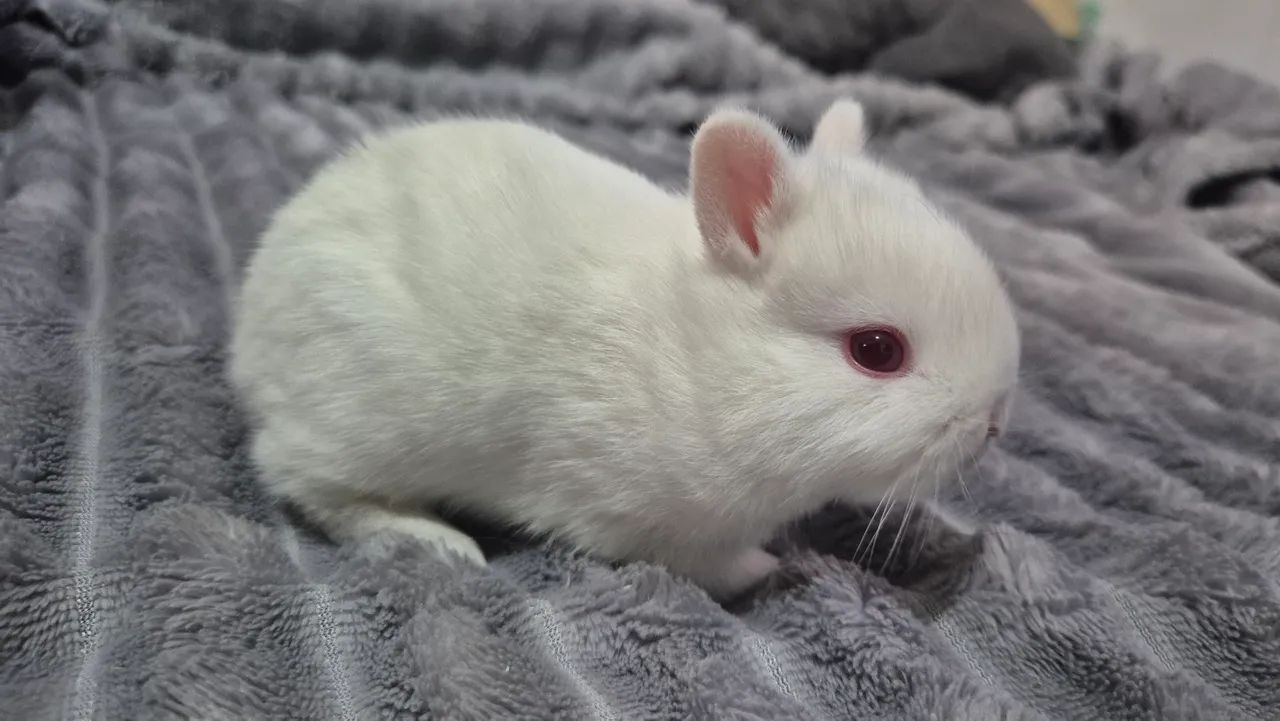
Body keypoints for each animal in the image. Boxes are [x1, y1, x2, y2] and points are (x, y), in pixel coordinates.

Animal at [228, 99, 1020, 600]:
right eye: (877, 349)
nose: (993, 422)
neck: (699, 359)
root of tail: (251, 321)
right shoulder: (635, 518)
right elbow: (713, 565)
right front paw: (774, 568)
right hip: (359, 422)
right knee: (304, 482)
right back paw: (434, 541)